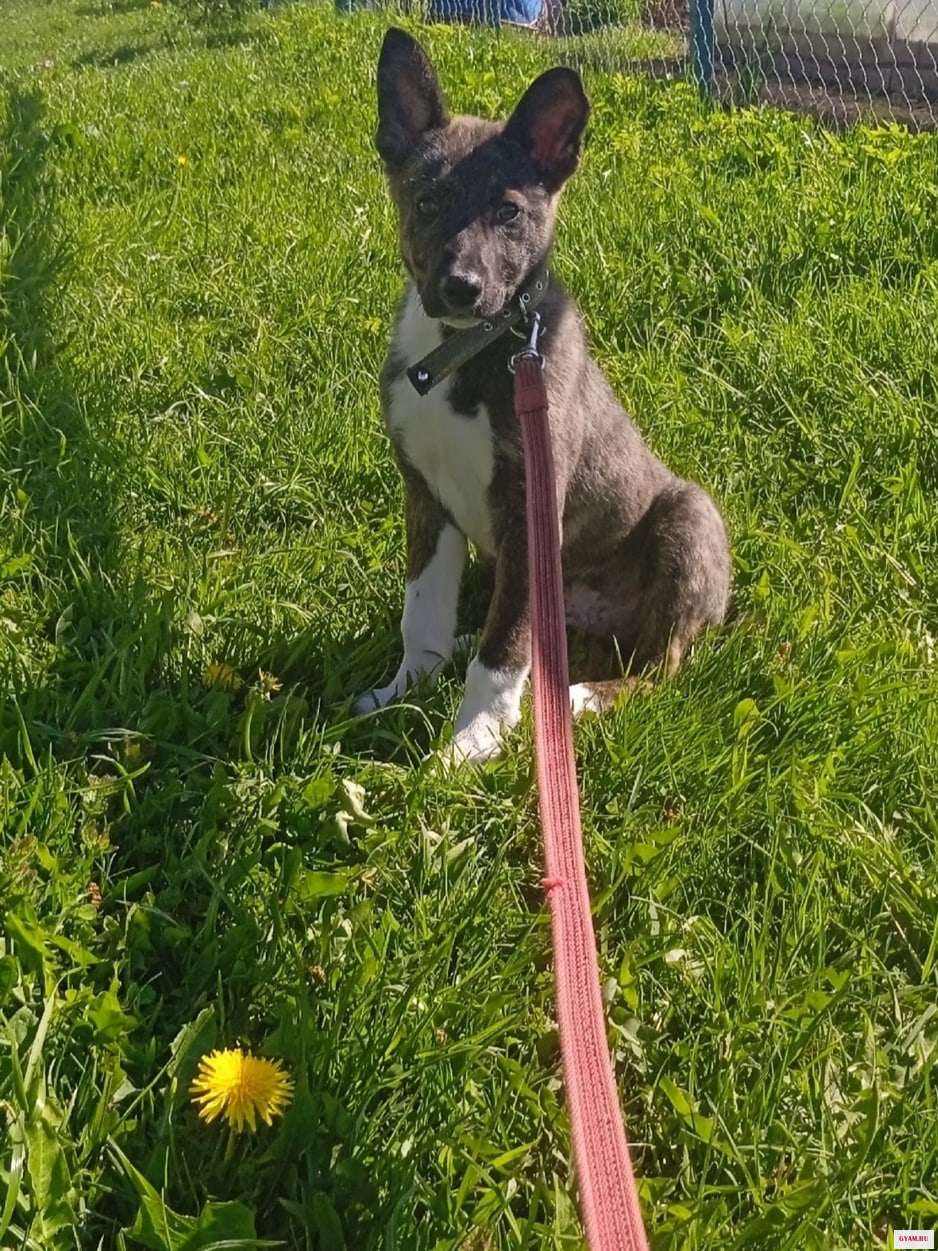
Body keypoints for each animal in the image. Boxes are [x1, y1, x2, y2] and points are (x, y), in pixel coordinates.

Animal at [355, 28, 731, 764]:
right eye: (427, 201)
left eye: (508, 212)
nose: (461, 287)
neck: (466, 355)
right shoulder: (424, 495)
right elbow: (423, 611)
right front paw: (404, 688)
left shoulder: (530, 506)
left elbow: (505, 651)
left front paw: (472, 741)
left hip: (689, 517)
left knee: (657, 667)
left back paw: (585, 697)